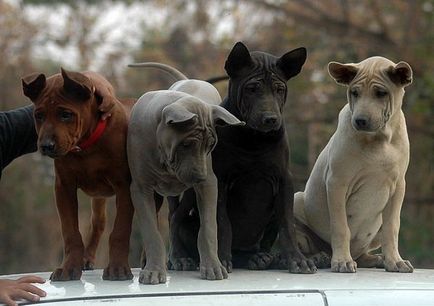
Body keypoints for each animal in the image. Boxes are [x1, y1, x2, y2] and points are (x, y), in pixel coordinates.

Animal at [20, 68, 135, 280]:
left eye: (66, 115)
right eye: (39, 115)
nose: (46, 146)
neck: (86, 146)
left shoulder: (124, 186)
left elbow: (120, 231)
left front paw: (117, 268)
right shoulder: (64, 187)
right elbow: (71, 232)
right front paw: (68, 268)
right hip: (98, 197)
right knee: (98, 223)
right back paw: (86, 259)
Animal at [126, 62, 244, 284]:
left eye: (211, 146)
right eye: (186, 144)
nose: (200, 176)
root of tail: (189, 80)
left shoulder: (209, 185)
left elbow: (208, 227)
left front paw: (213, 266)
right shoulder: (140, 188)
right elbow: (151, 231)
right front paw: (154, 271)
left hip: (189, 190)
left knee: (176, 218)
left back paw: (181, 257)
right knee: (172, 216)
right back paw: (176, 257)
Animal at [169, 41, 316, 274]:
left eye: (279, 89)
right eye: (252, 89)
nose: (270, 119)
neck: (253, 138)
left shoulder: (284, 180)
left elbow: (287, 224)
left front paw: (296, 259)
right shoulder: (221, 181)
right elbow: (223, 224)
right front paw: (222, 259)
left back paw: (265, 258)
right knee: (178, 220)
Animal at [294, 56, 414, 272]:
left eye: (381, 93)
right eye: (354, 93)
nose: (360, 120)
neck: (378, 140)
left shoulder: (398, 186)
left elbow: (392, 227)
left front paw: (395, 260)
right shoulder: (337, 183)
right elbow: (341, 226)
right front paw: (342, 261)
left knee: (365, 251)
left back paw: (376, 259)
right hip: (297, 200)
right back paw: (319, 258)